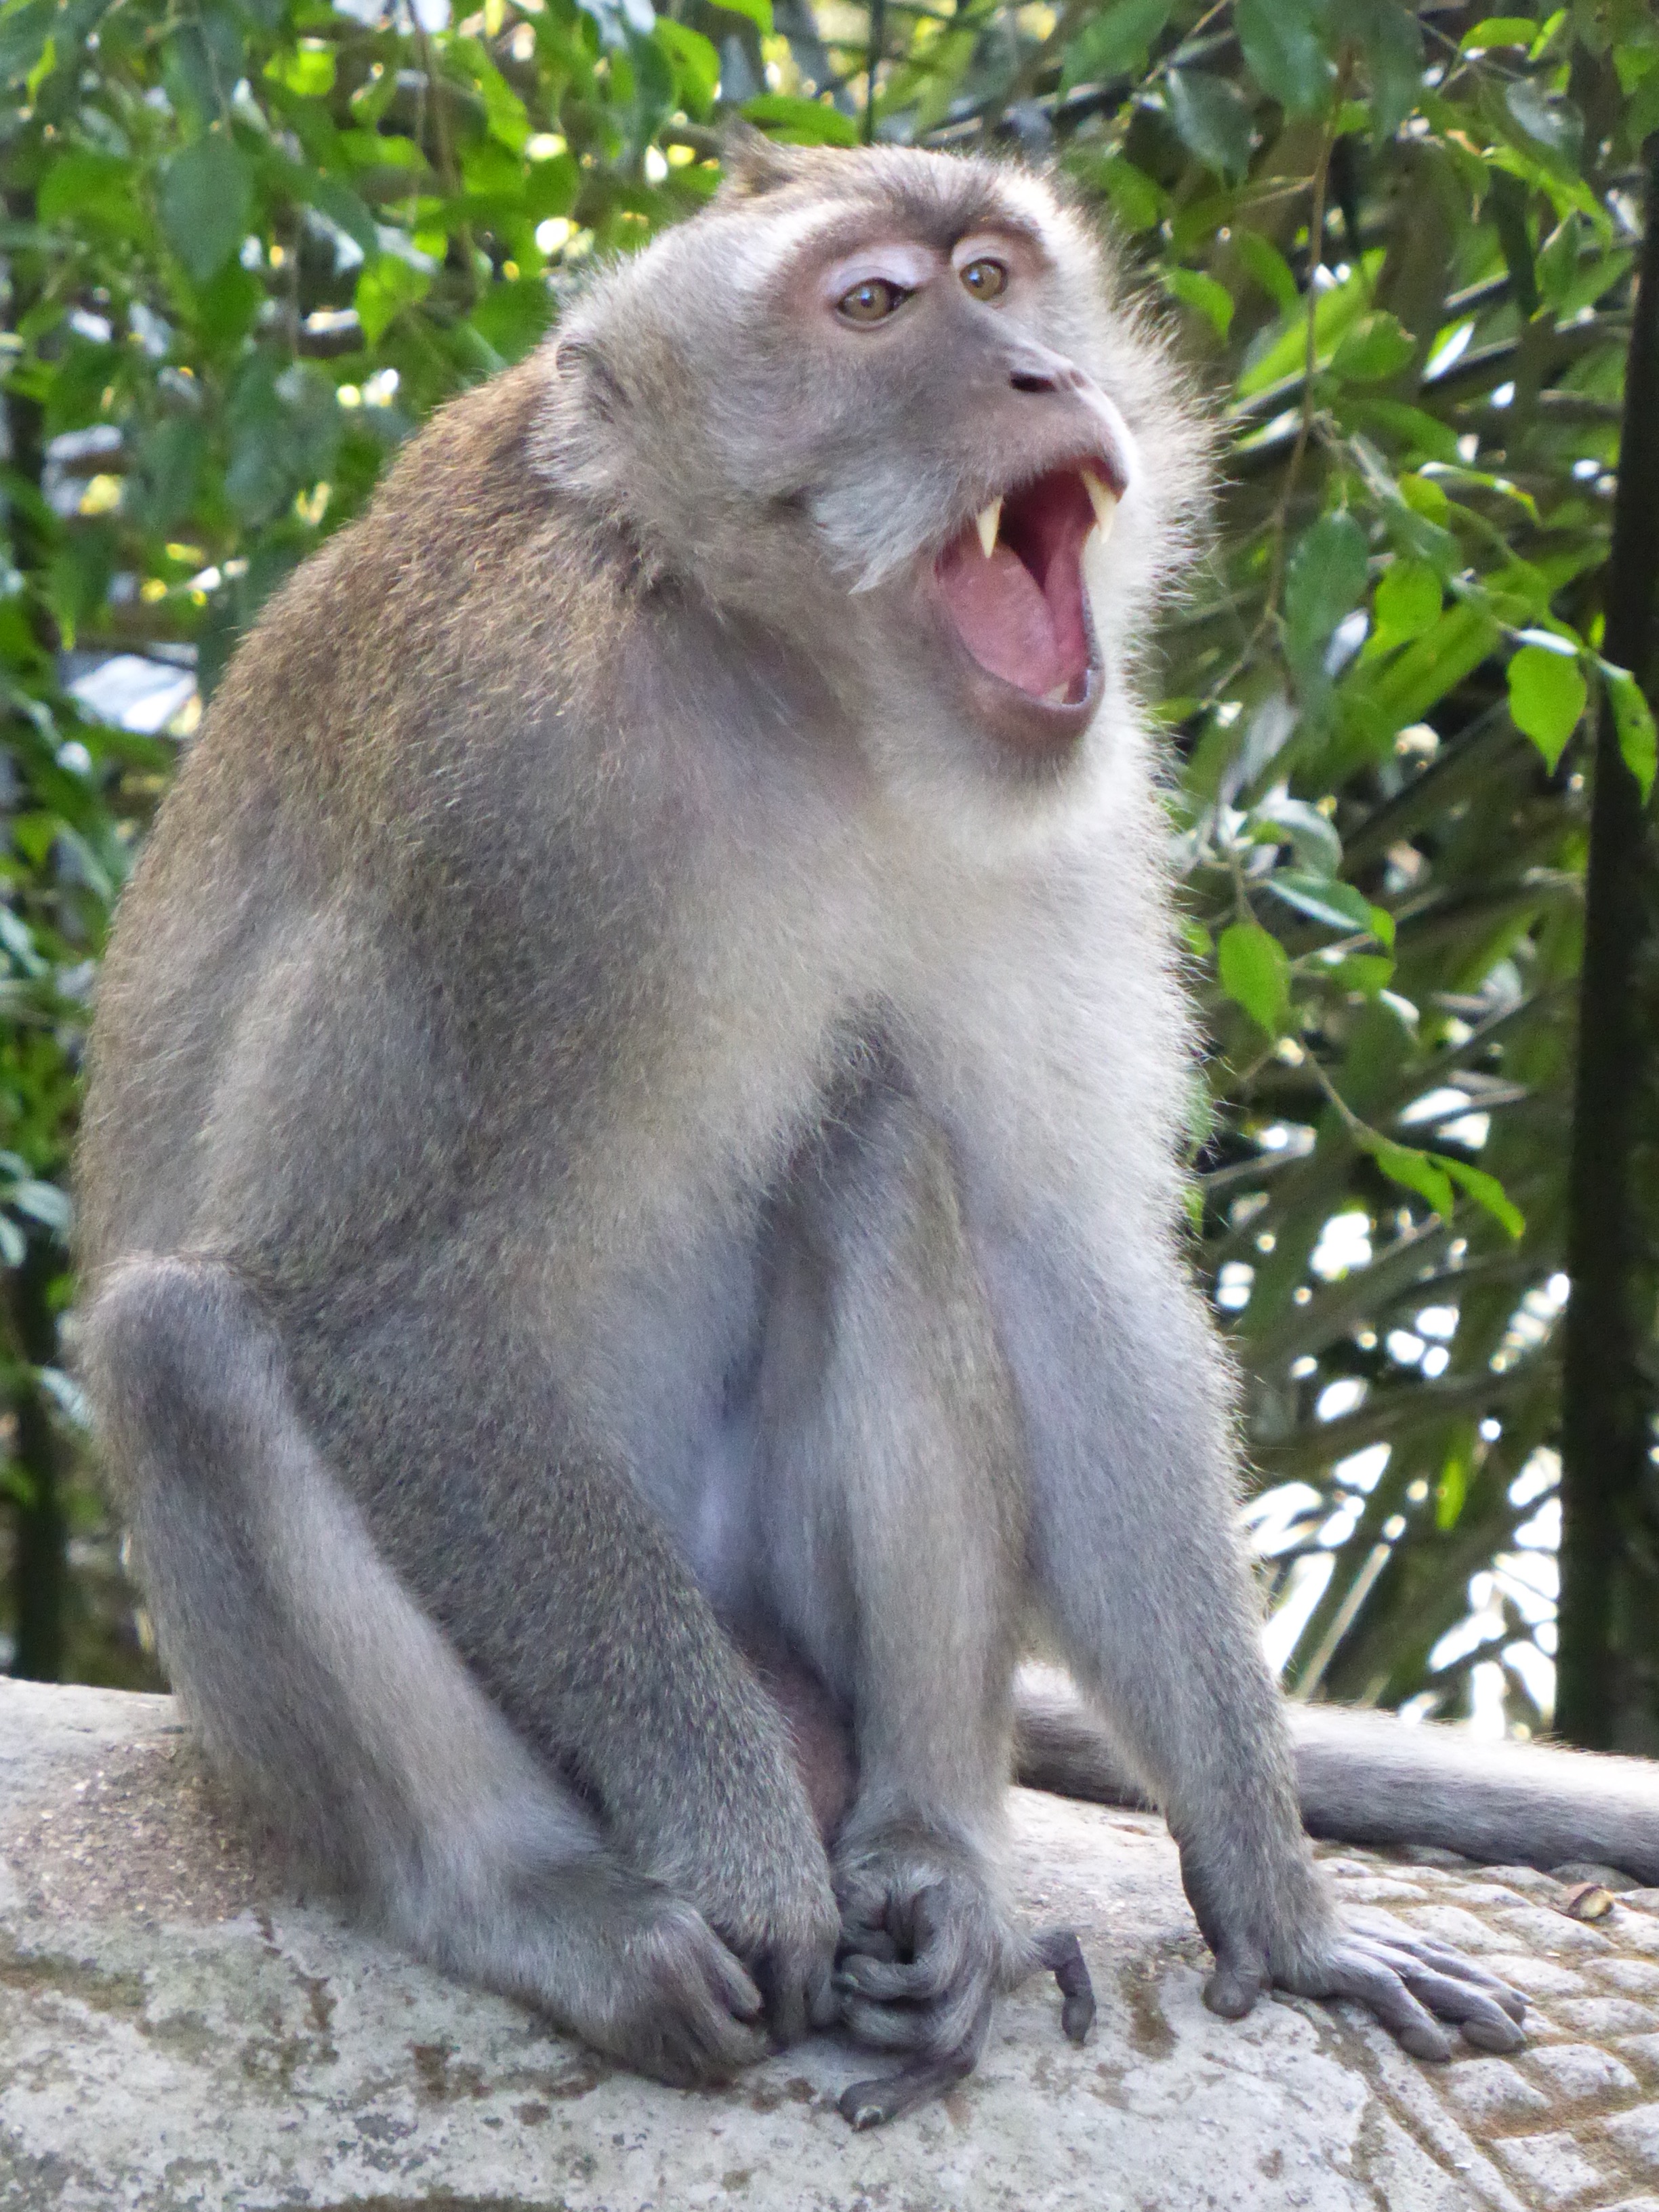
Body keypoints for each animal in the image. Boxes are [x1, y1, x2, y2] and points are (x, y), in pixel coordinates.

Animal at [76, 127, 1550, 2133]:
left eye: (994, 280)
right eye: (872, 308)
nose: (1038, 375)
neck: (799, 696)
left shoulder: (1072, 825)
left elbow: (1064, 1268)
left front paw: (1279, 1900)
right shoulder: (510, 813)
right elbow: (382, 1309)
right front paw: (740, 1851)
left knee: (882, 1146)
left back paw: (932, 1864)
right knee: (188, 1343)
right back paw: (549, 1903)